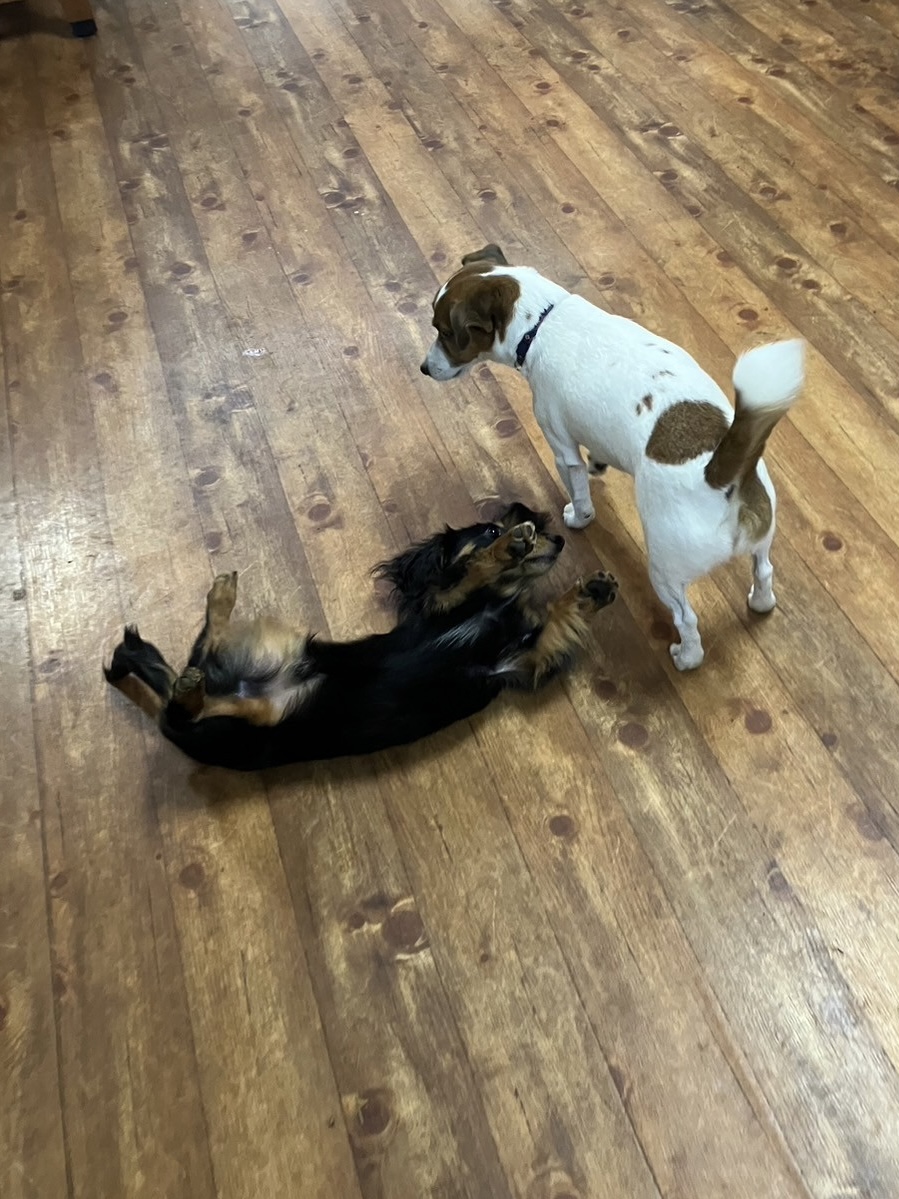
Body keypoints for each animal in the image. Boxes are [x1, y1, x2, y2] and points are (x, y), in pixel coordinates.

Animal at [104, 505, 618, 771]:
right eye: (490, 527)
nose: (556, 541)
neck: (493, 608)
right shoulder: (440, 608)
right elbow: (472, 571)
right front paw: (507, 549)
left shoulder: (518, 658)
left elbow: (558, 620)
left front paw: (592, 591)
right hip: (236, 721)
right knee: (186, 690)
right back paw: (218, 602)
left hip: (249, 703)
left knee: (188, 676)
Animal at [421, 244, 804, 670]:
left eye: (445, 332)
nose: (423, 368)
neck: (541, 321)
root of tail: (721, 473)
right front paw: (599, 464)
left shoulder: (561, 446)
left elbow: (579, 492)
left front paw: (578, 516)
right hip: (761, 541)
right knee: (764, 571)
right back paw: (760, 601)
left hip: (665, 570)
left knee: (686, 619)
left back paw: (686, 656)